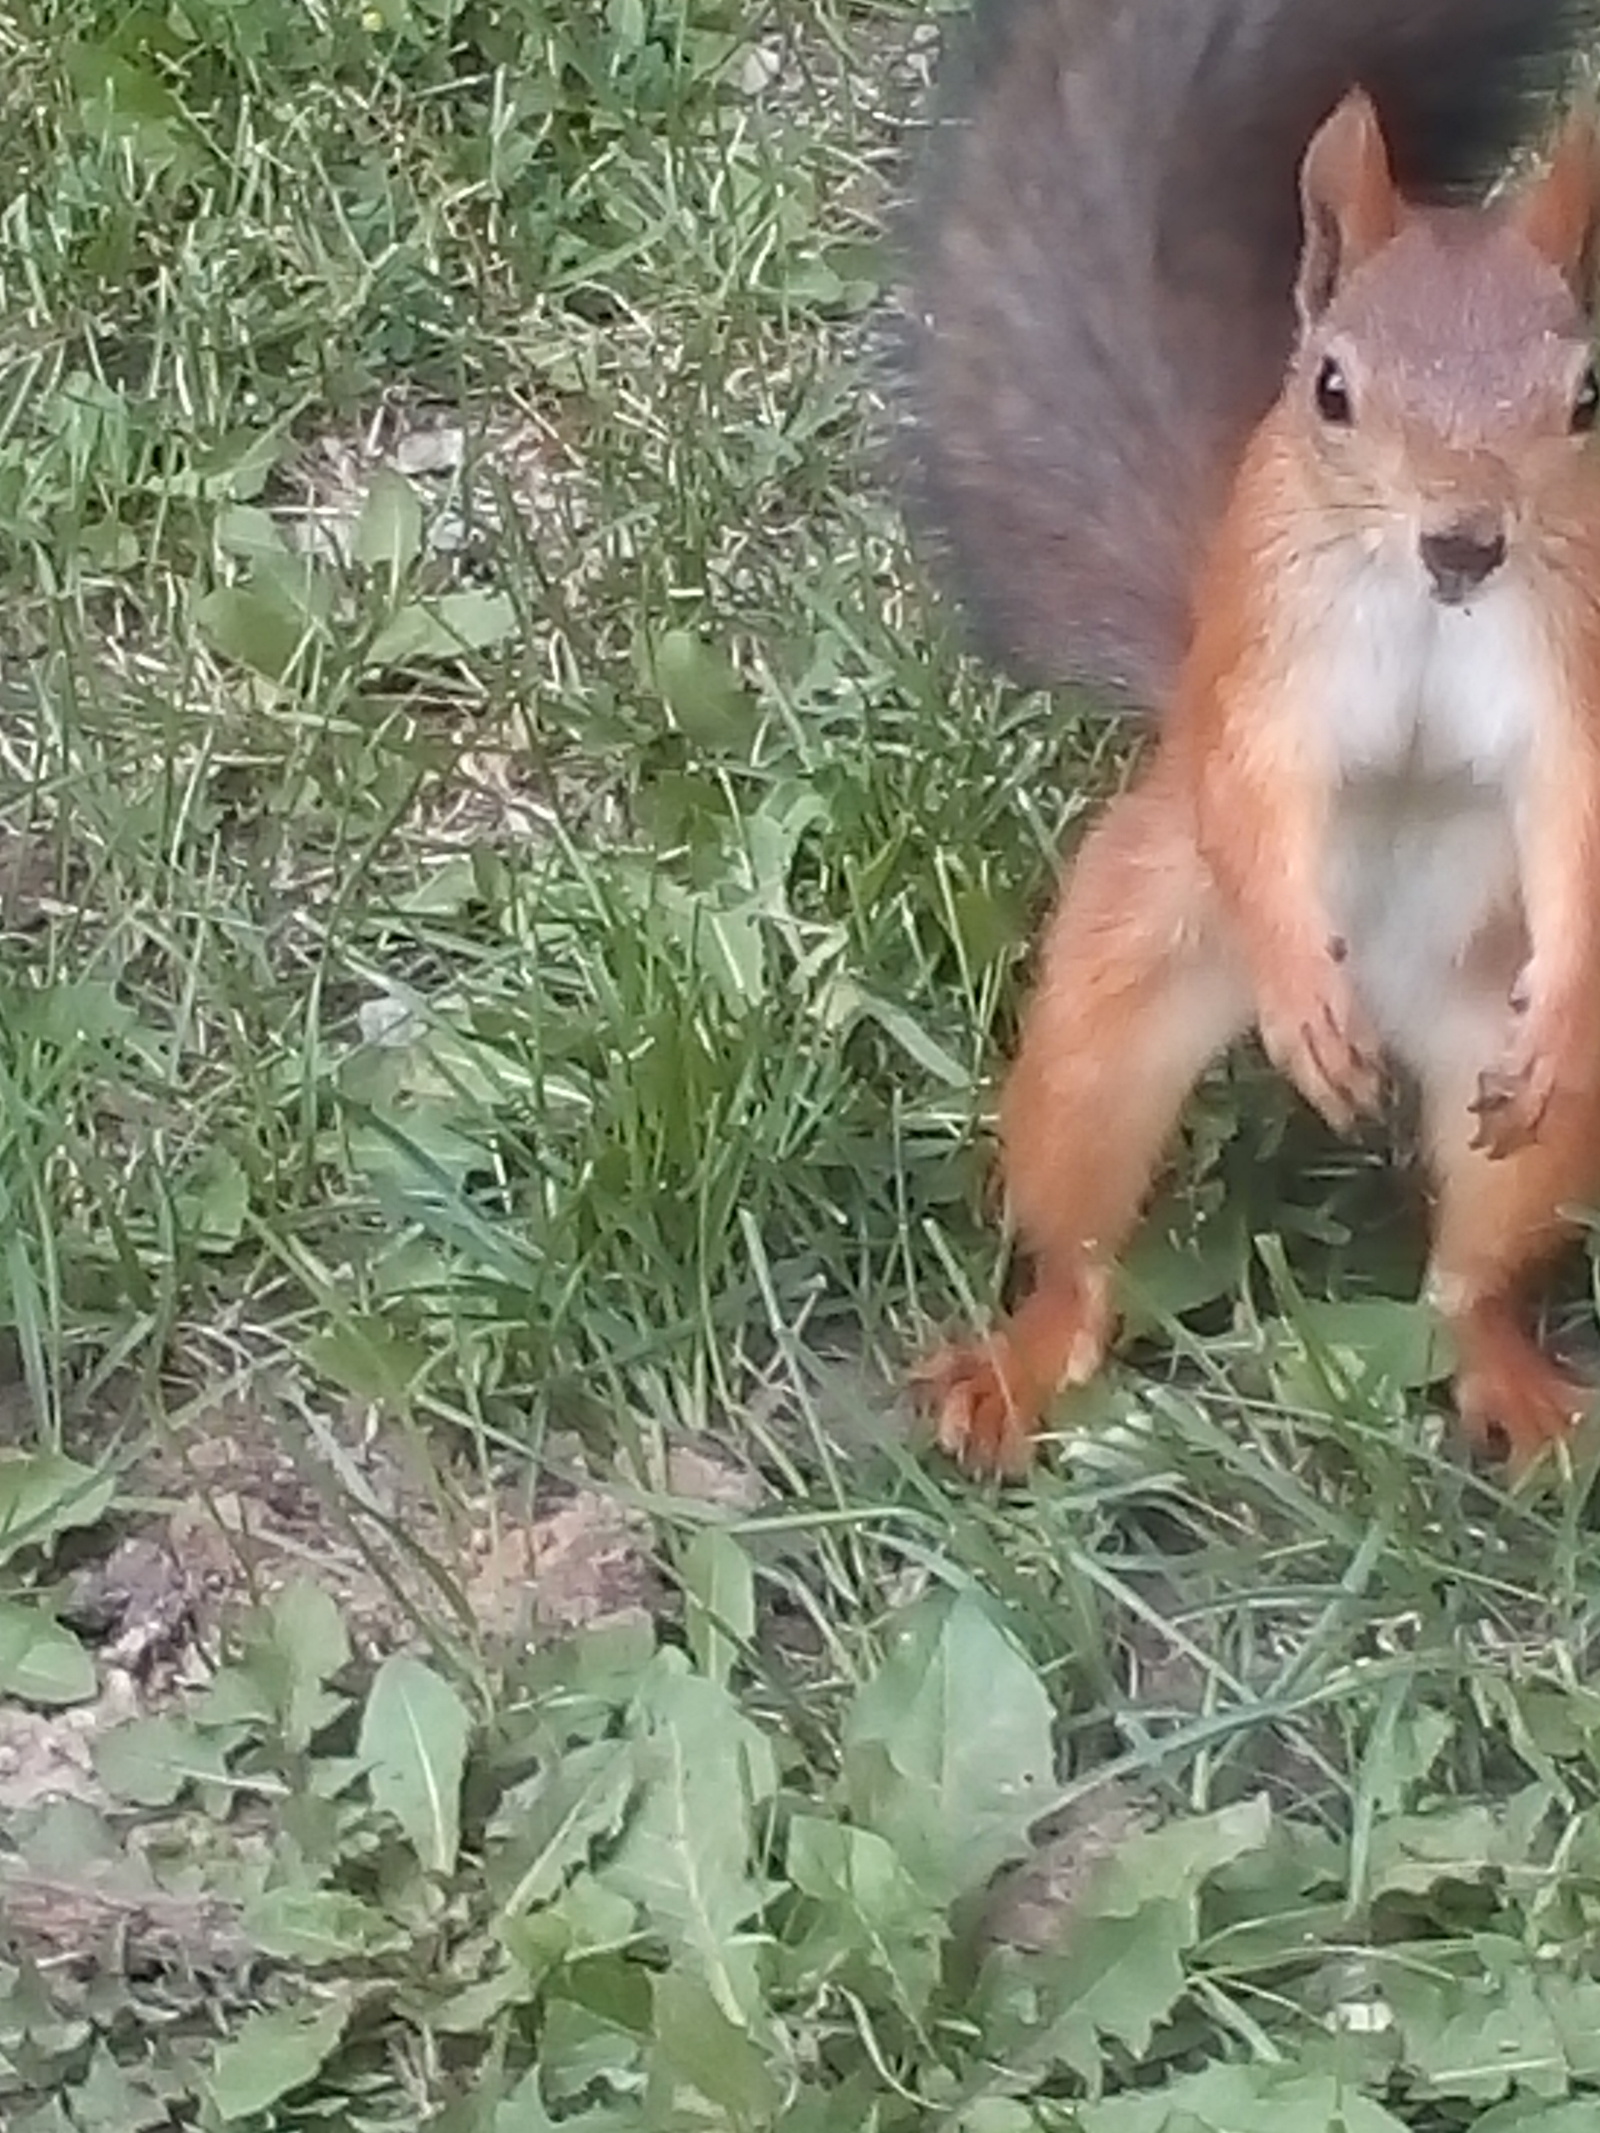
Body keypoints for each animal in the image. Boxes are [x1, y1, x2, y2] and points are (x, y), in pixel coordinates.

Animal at [904, 0, 1600, 1467]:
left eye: (1583, 400)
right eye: (1330, 390)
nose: (1465, 541)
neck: (1427, 602)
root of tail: (1399, 1005)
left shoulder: (1574, 659)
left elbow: (1574, 809)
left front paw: (1560, 1000)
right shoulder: (1259, 665)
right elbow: (1255, 778)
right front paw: (1299, 985)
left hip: (1528, 1119)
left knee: (1468, 1279)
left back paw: (1517, 1386)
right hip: (1116, 999)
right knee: (1082, 1242)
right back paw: (1024, 1364)